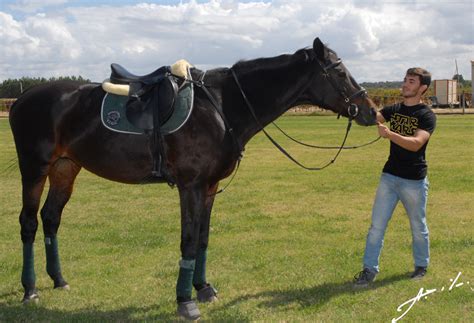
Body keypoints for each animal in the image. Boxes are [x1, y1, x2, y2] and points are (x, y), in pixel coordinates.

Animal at [8, 38, 378, 322]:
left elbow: (202, 239)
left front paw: (204, 288)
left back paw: (58, 279)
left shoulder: (210, 188)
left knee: (51, 218)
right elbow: (187, 241)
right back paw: (31, 289)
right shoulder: (191, 186)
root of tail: (22, 100)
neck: (222, 108)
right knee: (29, 222)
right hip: (35, 168)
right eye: (340, 72)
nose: (372, 112)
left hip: (65, 168)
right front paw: (185, 301)